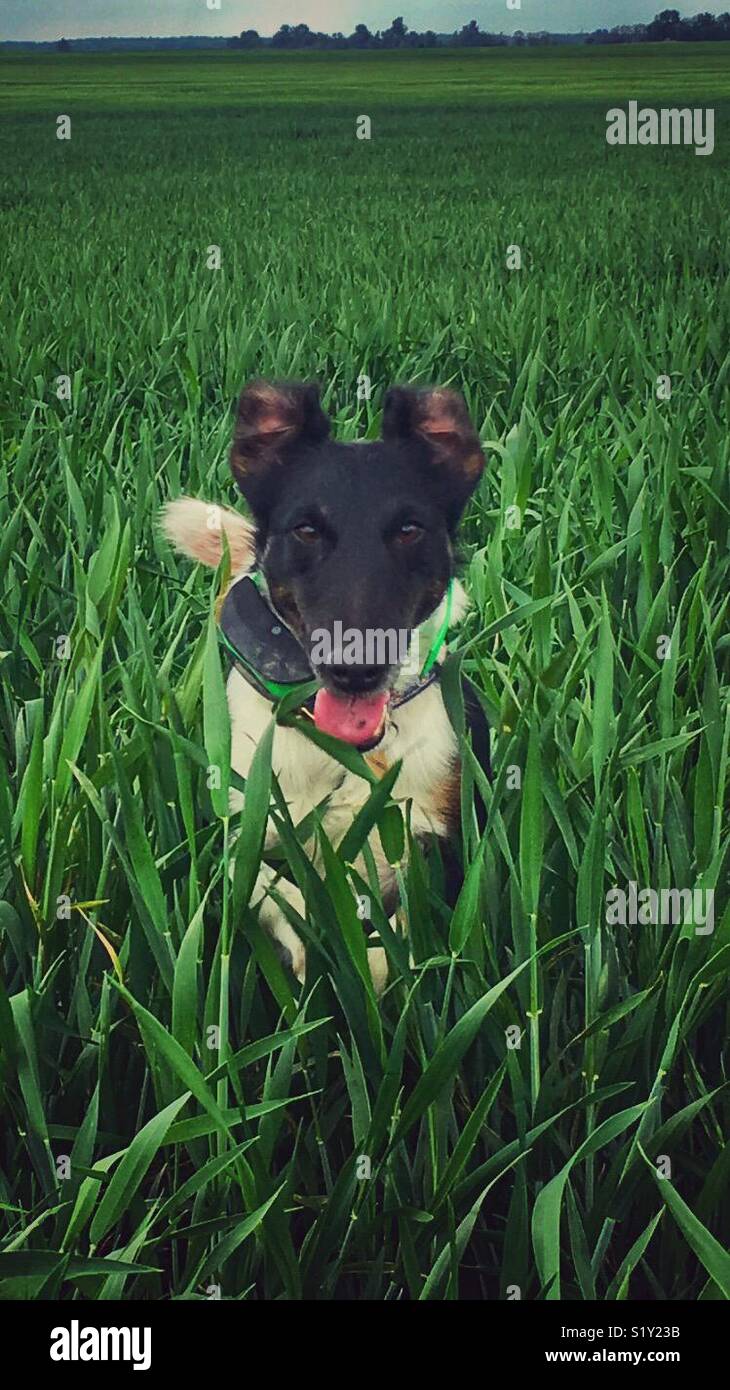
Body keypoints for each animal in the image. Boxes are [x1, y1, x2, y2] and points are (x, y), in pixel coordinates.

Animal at [160, 380, 489, 989]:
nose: (354, 668)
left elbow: (397, 936)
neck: (346, 755)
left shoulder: (438, 844)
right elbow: (276, 892)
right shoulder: (245, 832)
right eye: (306, 529)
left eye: (410, 529)